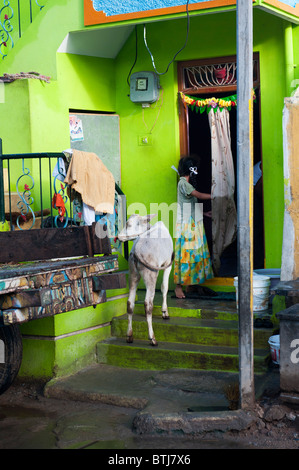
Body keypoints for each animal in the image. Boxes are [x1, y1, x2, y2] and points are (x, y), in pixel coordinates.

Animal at [117, 215, 173, 346]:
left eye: (129, 225)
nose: (118, 237)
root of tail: (136, 251)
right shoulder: (167, 264)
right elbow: (164, 287)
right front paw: (165, 312)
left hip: (133, 274)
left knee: (130, 303)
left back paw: (129, 335)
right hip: (151, 274)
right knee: (148, 303)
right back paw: (152, 338)